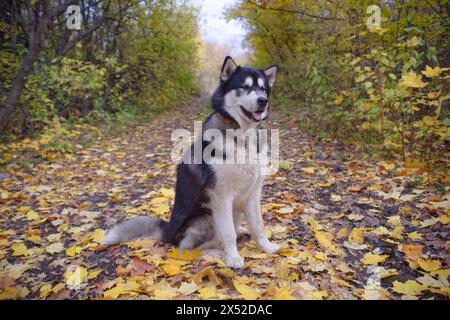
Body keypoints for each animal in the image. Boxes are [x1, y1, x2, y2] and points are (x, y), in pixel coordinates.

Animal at [106, 57, 282, 268]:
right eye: (244, 87)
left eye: (263, 89)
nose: (263, 101)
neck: (243, 134)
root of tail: (168, 232)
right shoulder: (221, 197)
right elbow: (228, 233)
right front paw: (233, 257)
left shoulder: (253, 193)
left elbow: (258, 225)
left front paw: (267, 247)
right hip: (205, 217)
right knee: (186, 249)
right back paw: (216, 253)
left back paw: (239, 231)